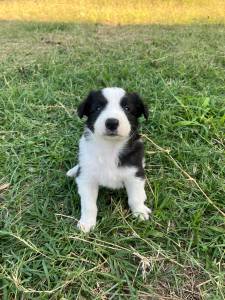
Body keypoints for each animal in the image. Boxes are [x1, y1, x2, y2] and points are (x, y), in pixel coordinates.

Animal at [67, 86, 151, 232]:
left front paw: (140, 212)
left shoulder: (135, 174)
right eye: (98, 108)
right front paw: (87, 223)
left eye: (127, 108)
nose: (112, 122)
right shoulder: (87, 178)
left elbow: (136, 197)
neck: (110, 147)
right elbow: (88, 204)